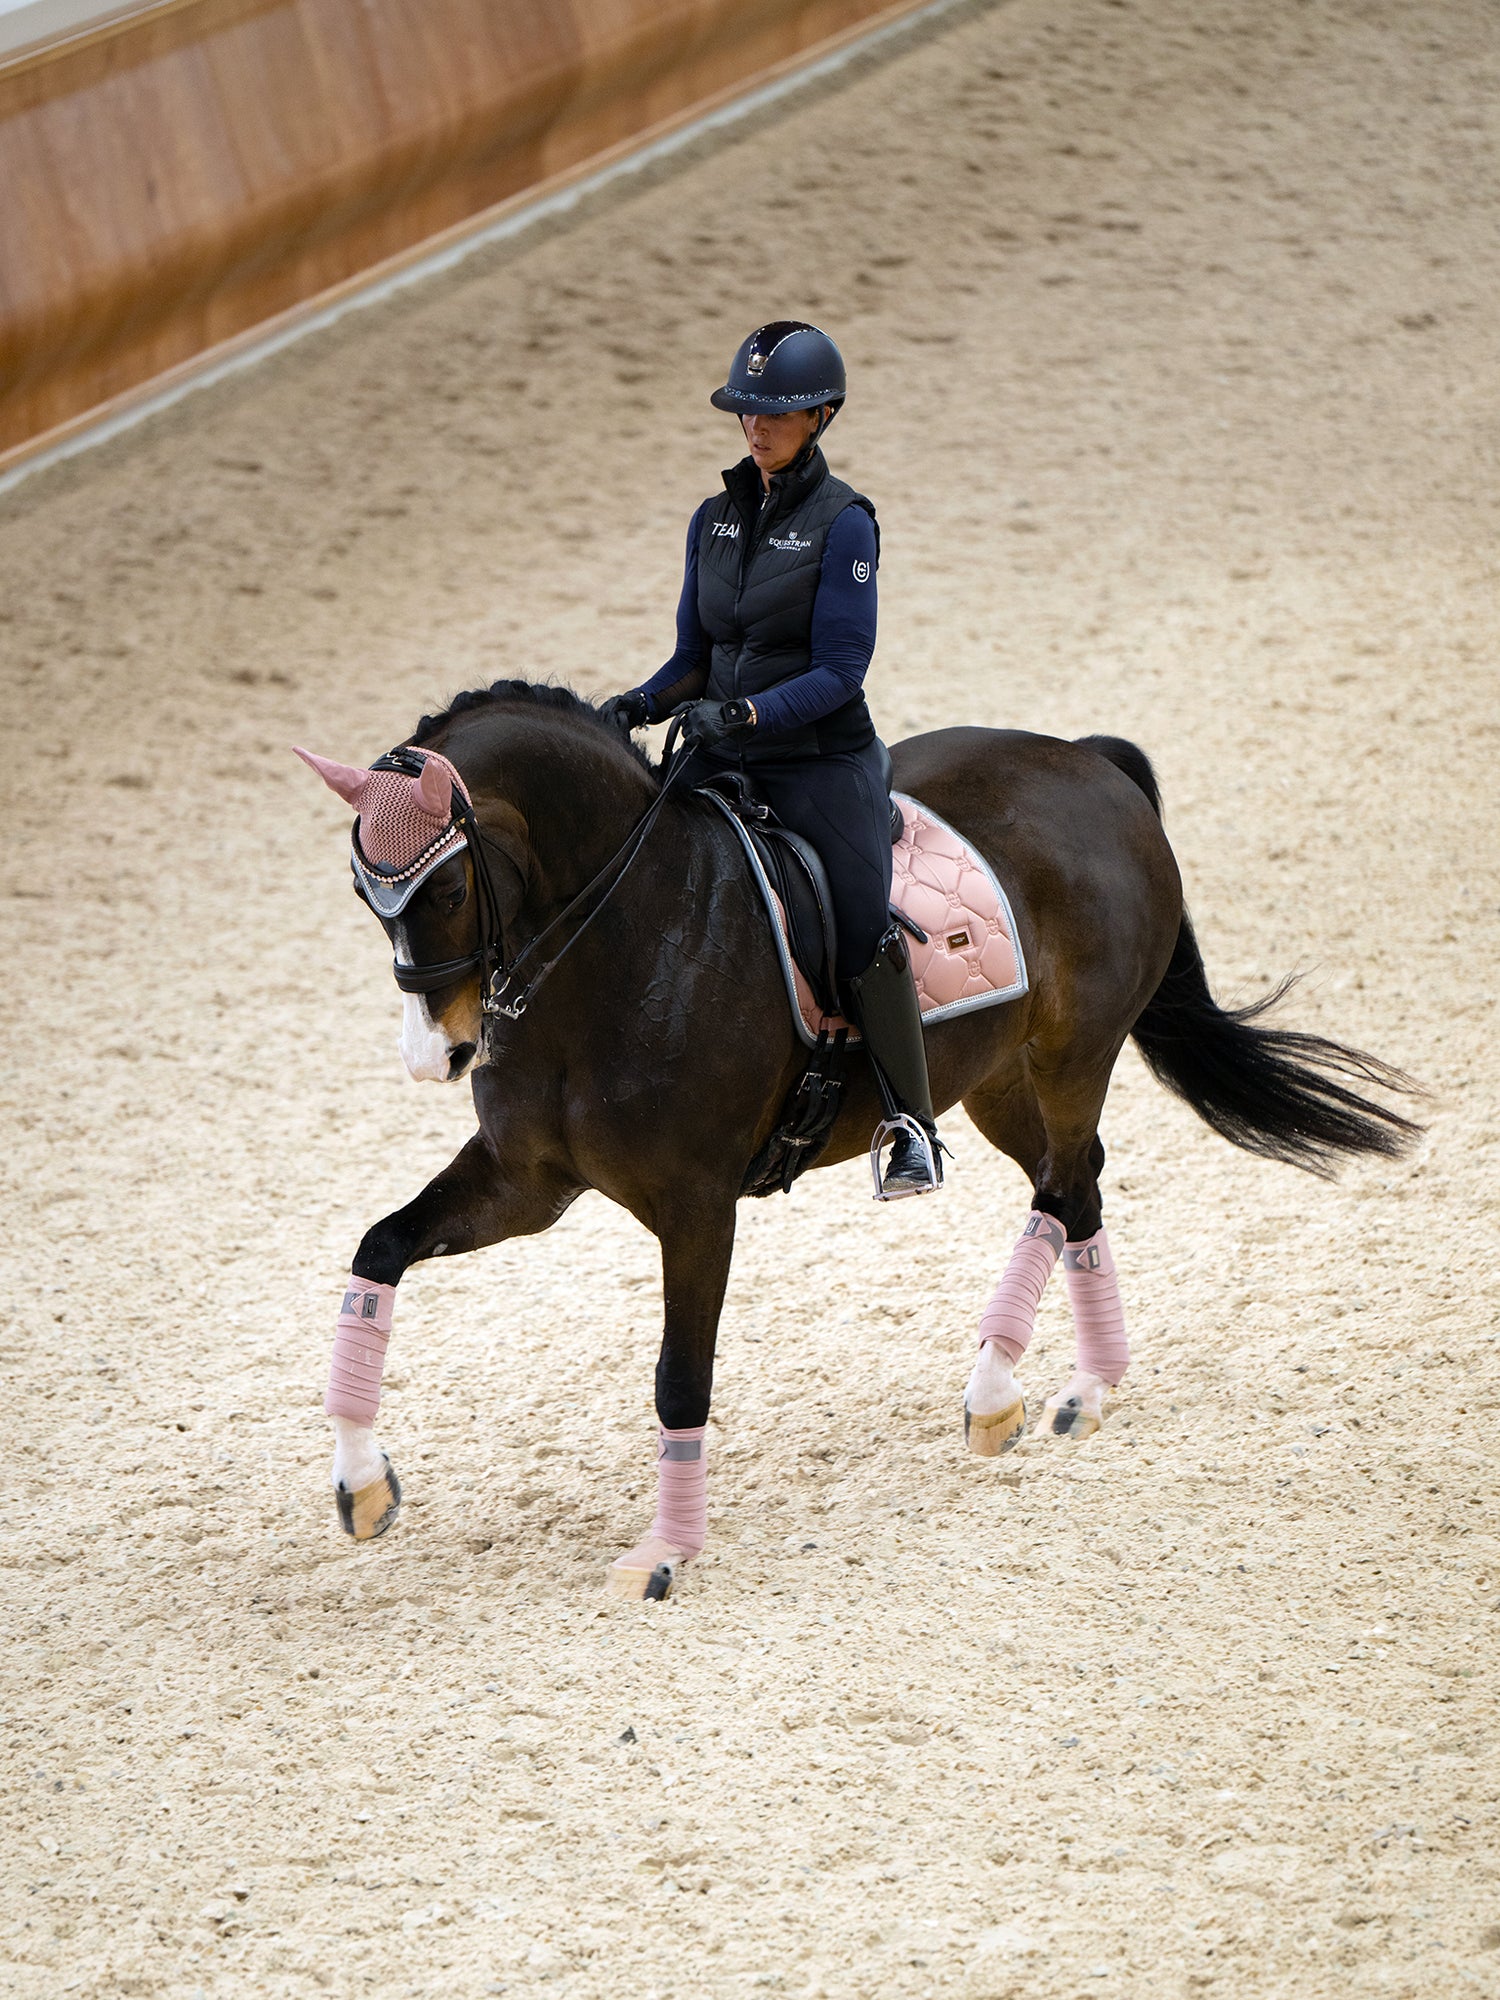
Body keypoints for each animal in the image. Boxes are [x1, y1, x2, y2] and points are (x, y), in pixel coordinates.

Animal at [294, 684, 1424, 1592]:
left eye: (445, 887)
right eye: (361, 893)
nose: (434, 1055)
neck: (625, 935)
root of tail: (1086, 759)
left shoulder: (696, 1208)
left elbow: (679, 1375)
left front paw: (665, 1553)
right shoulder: (525, 1182)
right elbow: (378, 1251)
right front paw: (362, 1484)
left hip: (1073, 1051)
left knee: (1062, 1186)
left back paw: (996, 1396)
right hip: (996, 1078)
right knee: (1080, 1186)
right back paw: (1086, 1390)